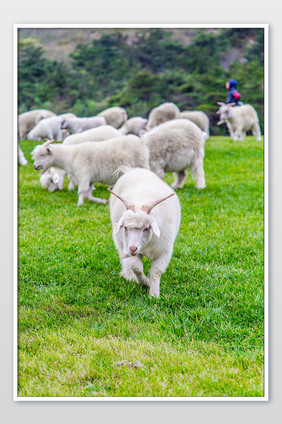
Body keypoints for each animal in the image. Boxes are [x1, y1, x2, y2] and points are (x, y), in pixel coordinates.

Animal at [108, 166, 181, 298]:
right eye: (125, 227)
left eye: (146, 227)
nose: (132, 249)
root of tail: (132, 170)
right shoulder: (131, 250)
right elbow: (137, 268)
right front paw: (145, 282)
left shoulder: (164, 252)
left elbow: (156, 272)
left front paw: (154, 294)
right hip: (121, 243)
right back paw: (128, 275)